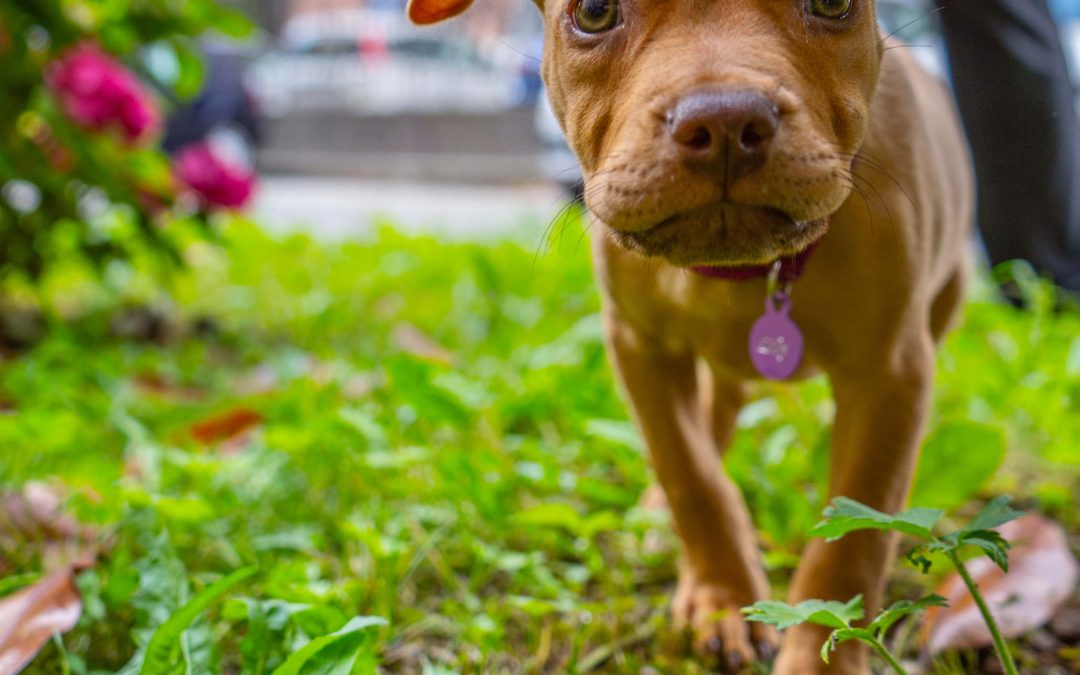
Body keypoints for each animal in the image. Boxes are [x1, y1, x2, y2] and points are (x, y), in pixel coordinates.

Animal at [408, 0, 976, 669]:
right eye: (595, 12)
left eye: (833, 5)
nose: (725, 120)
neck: (748, 271)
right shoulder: (640, 348)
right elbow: (691, 473)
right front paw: (722, 598)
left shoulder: (891, 374)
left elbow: (857, 532)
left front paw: (823, 651)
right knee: (715, 416)